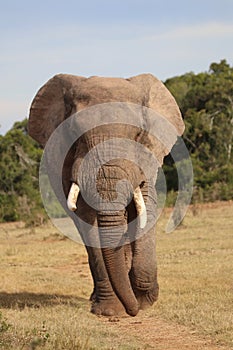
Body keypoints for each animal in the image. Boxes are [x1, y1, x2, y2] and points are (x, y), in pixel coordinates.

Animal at [28, 72, 184, 316]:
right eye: (75, 135)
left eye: (138, 134)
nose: (134, 310)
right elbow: (88, 220)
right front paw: (111, 311)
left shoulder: (147, 156)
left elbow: (146, 207)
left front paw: (143, 299)